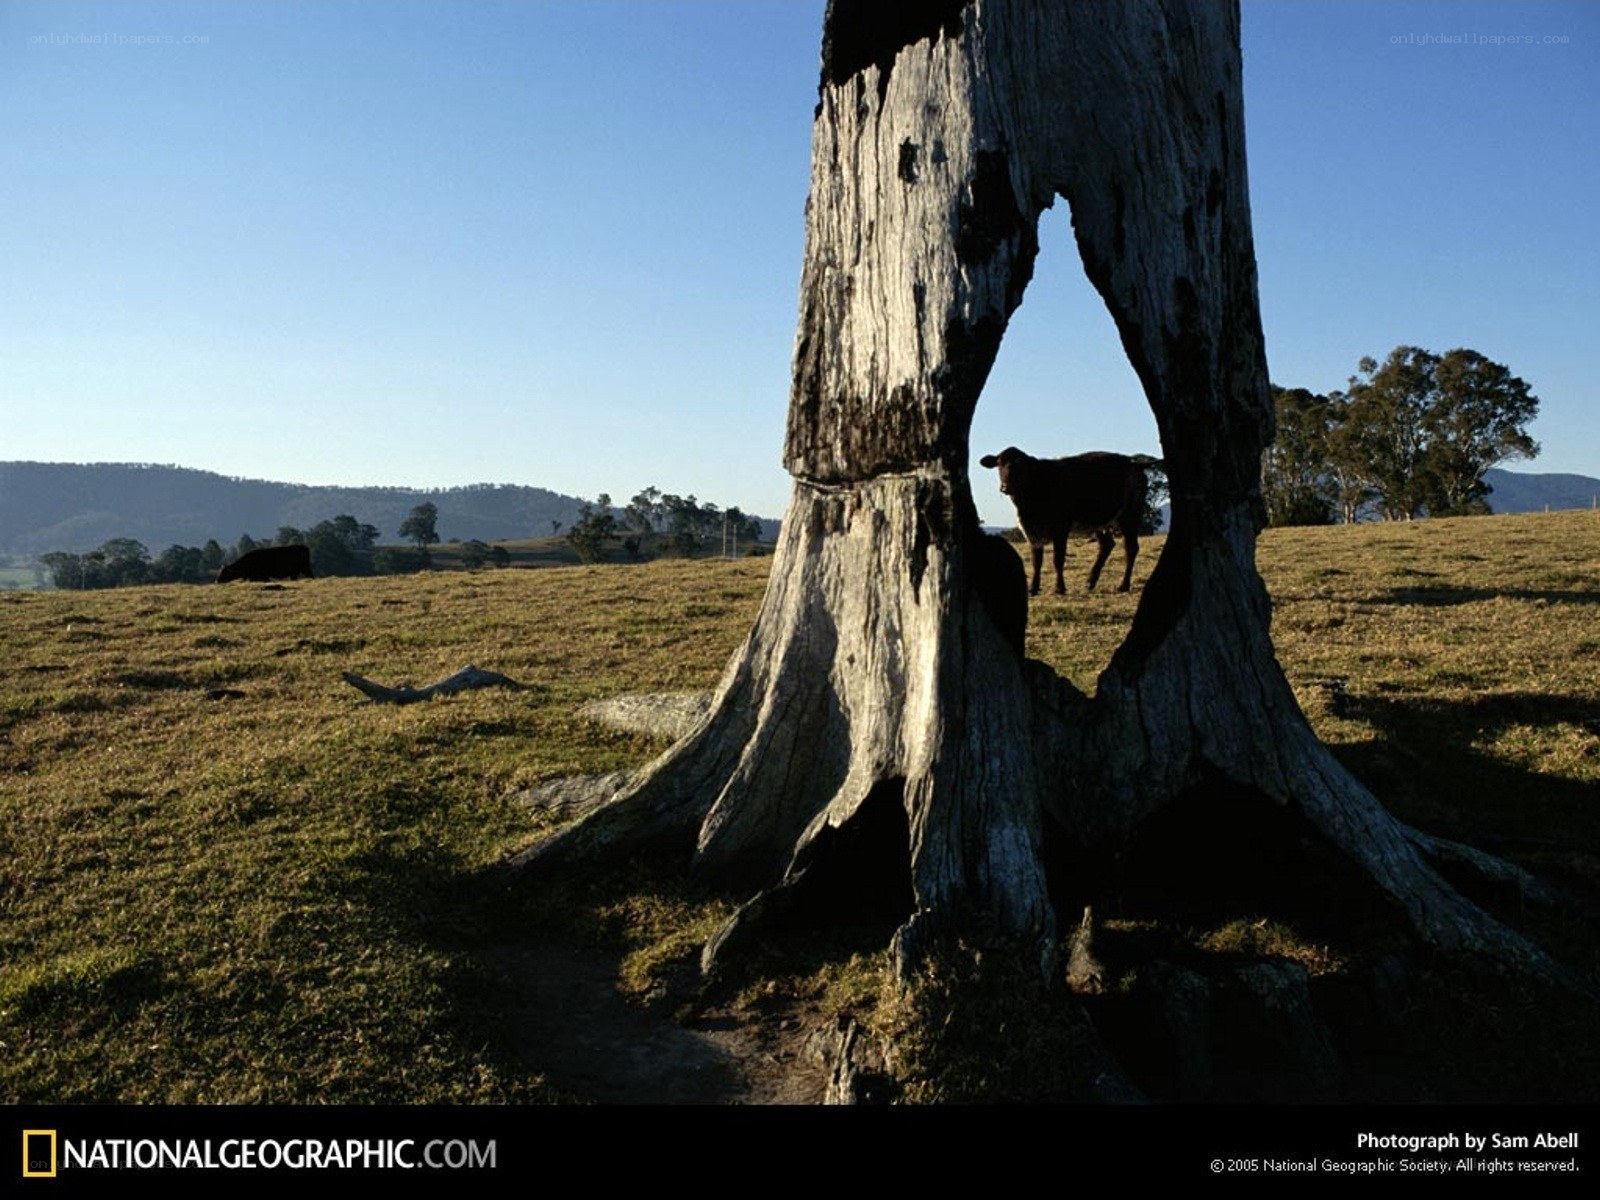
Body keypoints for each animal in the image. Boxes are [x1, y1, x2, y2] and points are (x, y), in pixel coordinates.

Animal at [978, 446, 1149, 596]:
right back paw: (1090, 582)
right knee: (1106, 545)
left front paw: (1059, 588)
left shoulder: (1060, 527)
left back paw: (1123, 585)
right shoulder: (1032, 531)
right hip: (1099, 523)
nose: (1005, 487)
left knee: (1131, 549)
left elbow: (1058, 559)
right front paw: (1033, 589)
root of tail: (1133, 463)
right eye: (999, 464)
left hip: (1130, 516)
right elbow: (1036, 561)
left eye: (1019, 464)